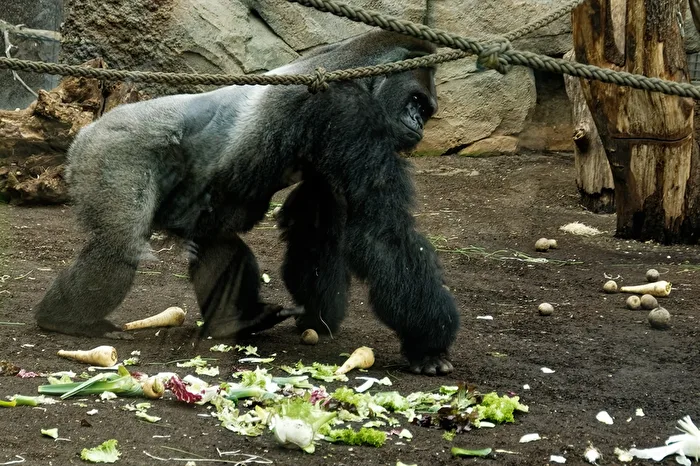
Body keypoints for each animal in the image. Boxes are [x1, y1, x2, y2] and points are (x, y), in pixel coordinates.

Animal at [34, 29, 460, 375]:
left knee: (215, 240)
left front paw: (317, 317)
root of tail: (87, 130)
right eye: (416, 101)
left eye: (425, 109)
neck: (354, 68)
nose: (419, 125)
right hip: (110, 149)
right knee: (119, 244)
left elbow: (316, 225)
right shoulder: (347, 111)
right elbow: (381, 230)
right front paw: (428, 342)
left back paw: (237, 321)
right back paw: (63, 320)